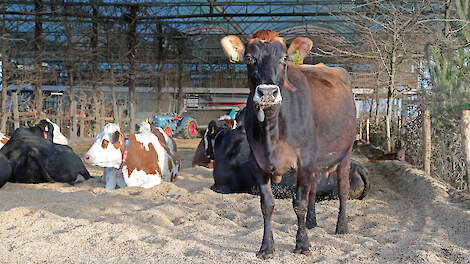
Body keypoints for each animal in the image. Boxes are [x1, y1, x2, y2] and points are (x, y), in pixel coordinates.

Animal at [221, 30, 356, 258]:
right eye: (249, 58)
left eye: (284, 58)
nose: (267, 92)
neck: (272, 132)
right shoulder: (257, 163)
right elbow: (267, 205)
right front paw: (266, 247)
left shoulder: (304, 161)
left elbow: (299, 203)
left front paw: (302, 244)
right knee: (313, 190)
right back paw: (311, 222)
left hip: (345, 152)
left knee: (343, 189)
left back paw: (342, 226)